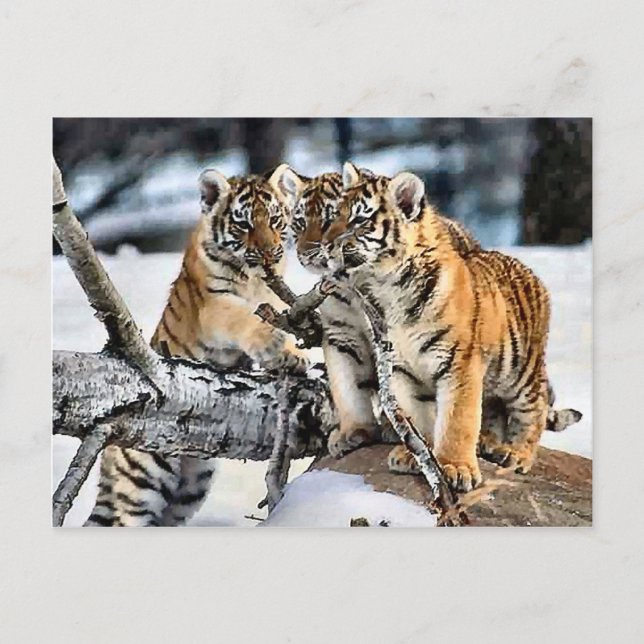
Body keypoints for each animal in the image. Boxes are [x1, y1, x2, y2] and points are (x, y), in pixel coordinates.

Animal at [85, 163, 308, 526]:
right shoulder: (213, 305)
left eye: (275, 220)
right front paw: (273, 344)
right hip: (141, 483)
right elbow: (244, 317)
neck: (254, 280)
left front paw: (291, 356)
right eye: (244, 224)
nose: (269, 254)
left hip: (189, 490)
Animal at [321, 161, 580, 492]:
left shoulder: (460, 364)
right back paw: (489, 443)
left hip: (520, 372)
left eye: (359, 220)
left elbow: (458, 420)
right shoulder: (401, 369)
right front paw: (414, 457)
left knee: (533, 410)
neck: (387, 287)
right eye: (334, 215)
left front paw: (455, 467)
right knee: (494, 411)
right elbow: (417, 418)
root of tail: (528, 270)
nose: (325, 245)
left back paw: (516, 455)